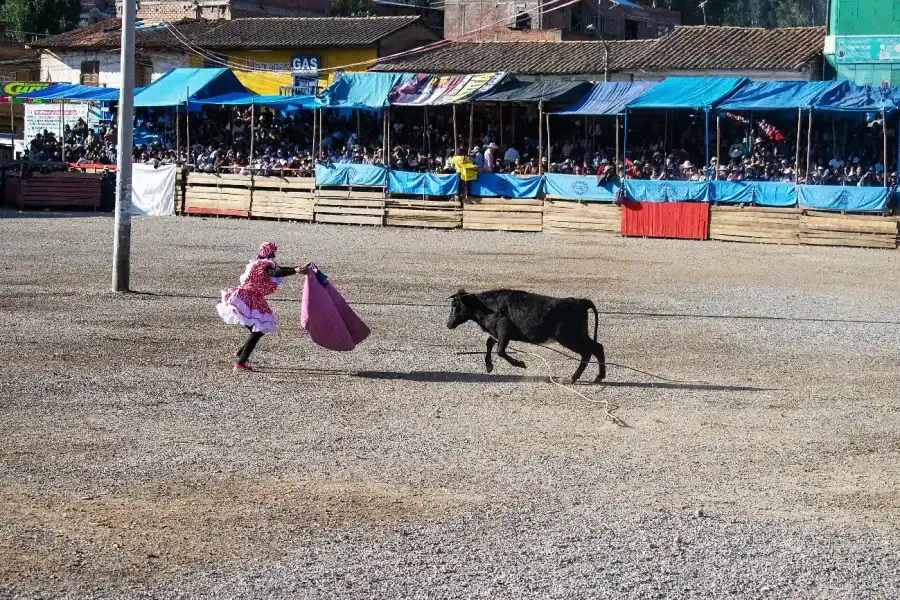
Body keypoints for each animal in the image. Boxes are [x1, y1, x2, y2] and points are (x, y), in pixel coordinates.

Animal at [448, 288, 608, 382]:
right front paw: (489, 366)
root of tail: (581, 302)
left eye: (455, 305)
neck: (488, 307)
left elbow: (500, 351)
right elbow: (489, 343)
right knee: (597, 348)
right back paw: (599, 377)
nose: (448, 324)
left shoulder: (503, 331)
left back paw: (573, 378)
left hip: (570, 338)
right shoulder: (496, 333)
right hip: (579, 336)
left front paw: (520, 364)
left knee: (588, 352)